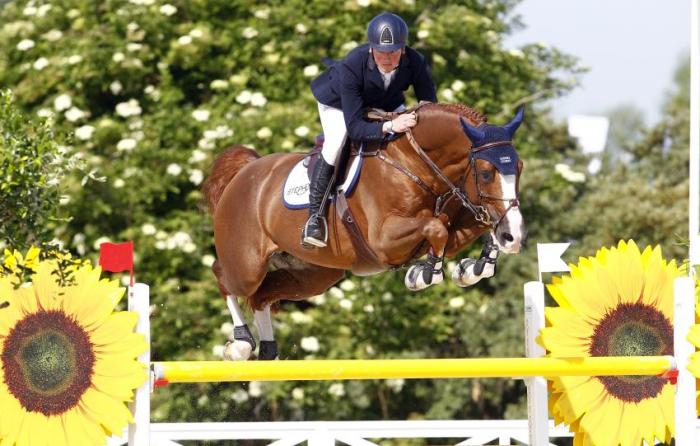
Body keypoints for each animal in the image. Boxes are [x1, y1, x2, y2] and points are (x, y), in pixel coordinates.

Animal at [202, 103, 525, 360]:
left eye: (519, 167)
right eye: (486, 173)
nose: (515, 237)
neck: (414, 162)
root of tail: (245, 171)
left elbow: (469, 226)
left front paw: (476, 266)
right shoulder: (384, 241)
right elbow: (436, 228)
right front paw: (424, 274)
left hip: (312, 275)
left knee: (262, 296)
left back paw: (268, 351)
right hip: (248, 265)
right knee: (224, 275)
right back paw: (241, 344)